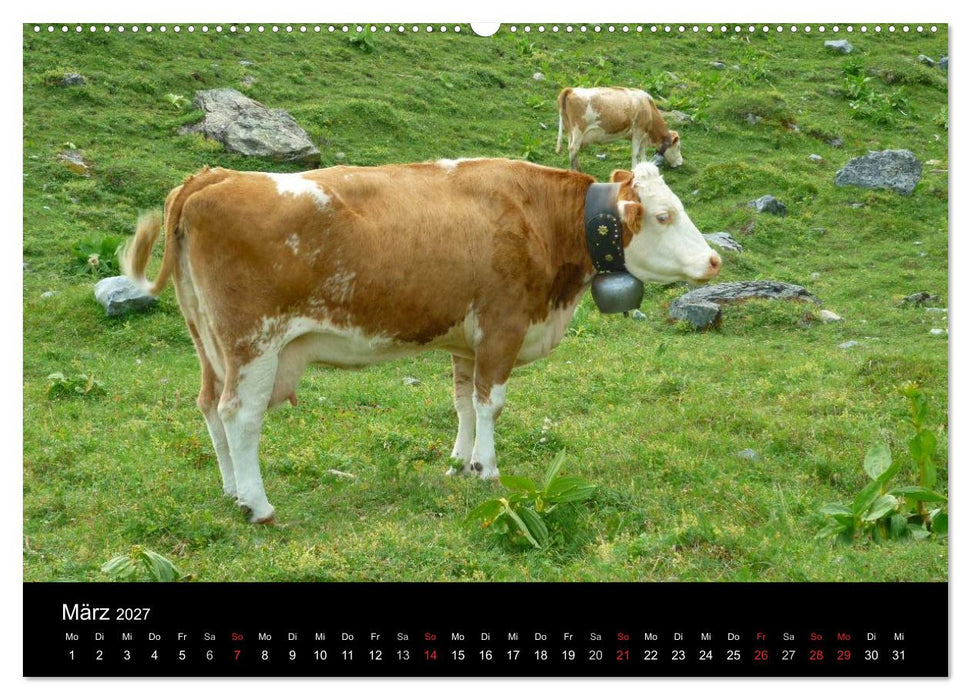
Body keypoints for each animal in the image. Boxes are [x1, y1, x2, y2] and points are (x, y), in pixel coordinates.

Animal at [122, 158, 720, 523]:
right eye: (665, 215)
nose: (715, 259)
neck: (539, 218)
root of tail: (213, 176)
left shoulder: (466, 341)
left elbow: (463, 403)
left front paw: (460, 463)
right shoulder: (502, 325)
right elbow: (491, 403)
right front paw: (488, 470)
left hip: (207, 340)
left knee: (208, 407)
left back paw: (231, 492)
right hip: (254, 344)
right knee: (240, 417)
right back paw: (257, 504)